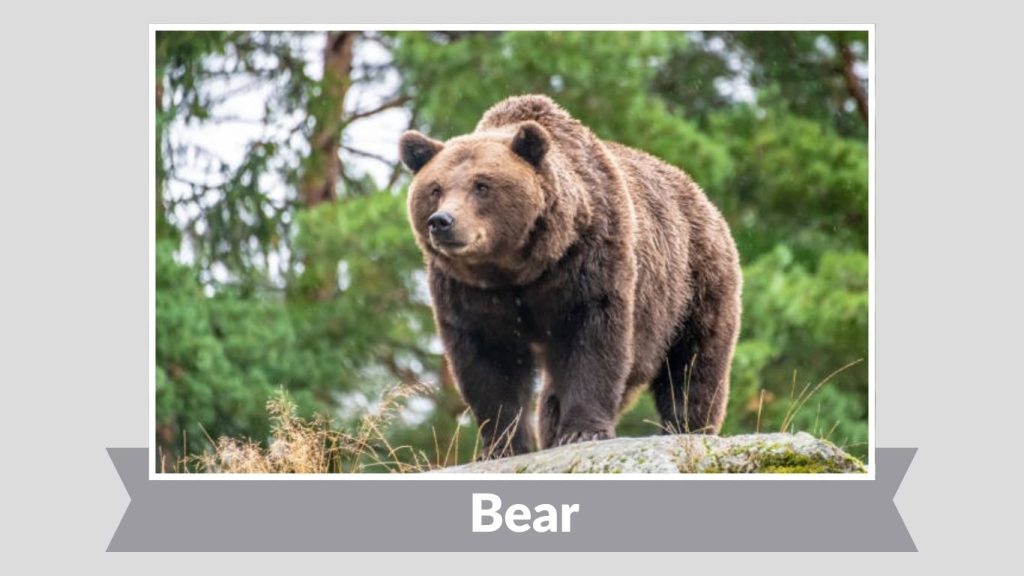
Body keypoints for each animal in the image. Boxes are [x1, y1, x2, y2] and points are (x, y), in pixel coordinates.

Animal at [399, 94, 742, 458]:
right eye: (435, 189)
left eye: (481, 185)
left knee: (694, 363)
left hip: (692, 284)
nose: (442, 221)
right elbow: (488, 361)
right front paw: (501, 446)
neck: (519, 268)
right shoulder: (468, 292)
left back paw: (688, 427)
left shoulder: (589, 262)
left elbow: (593, 341)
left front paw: (582, 431)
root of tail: (698, 193)